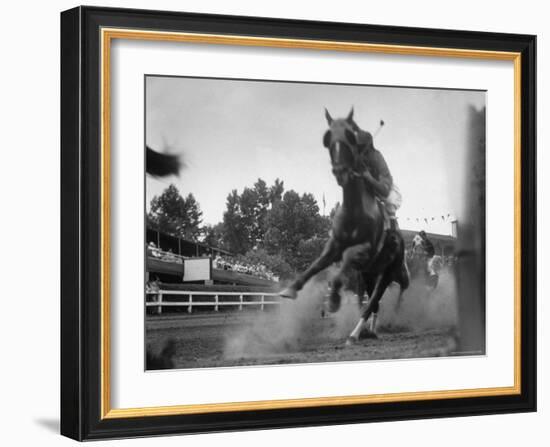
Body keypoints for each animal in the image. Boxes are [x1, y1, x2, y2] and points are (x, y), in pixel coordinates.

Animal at [282, 107, 408, 344]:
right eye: (327, 138)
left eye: (350, 135)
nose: (340, 171)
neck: (355, 211)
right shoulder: (335, 243)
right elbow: (318, 263)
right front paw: (291, 288)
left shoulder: (364, 250)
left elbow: (342, 267)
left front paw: (333, 299)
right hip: (369, 274)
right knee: (374, 304)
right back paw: (370, 331)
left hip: (387, 272)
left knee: (373, 301)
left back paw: (355, 334)